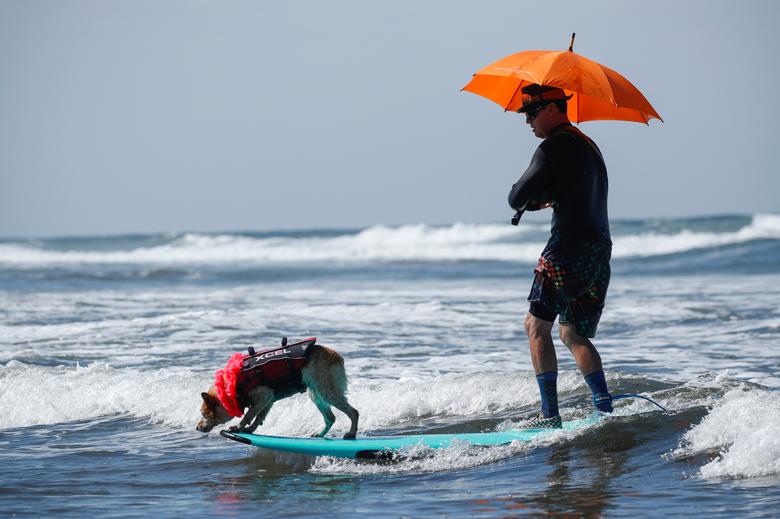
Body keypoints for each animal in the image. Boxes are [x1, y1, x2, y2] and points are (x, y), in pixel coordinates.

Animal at [195, 340, 360, 440]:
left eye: (203, 414)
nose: (197, 427)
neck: (232, 386)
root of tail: (337, 356)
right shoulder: (268, 399)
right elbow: (259, 416)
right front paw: (251, 429)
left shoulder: (263, 395)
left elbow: (249, 414)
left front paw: (238, 427)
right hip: (315, 393)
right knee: (330, 417)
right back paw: (320, 434)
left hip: (326, 390)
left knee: (353, 412)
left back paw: (351, 433)